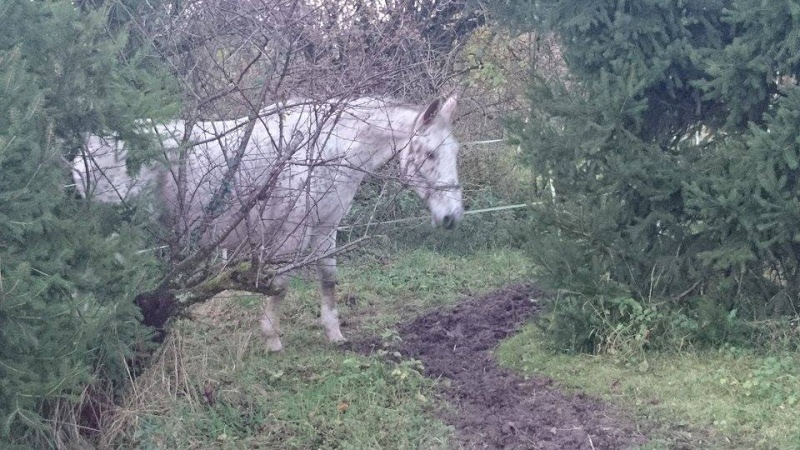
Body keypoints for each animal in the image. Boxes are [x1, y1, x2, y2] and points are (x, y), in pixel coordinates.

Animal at [75, 93, 466, 350]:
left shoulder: (326, 230)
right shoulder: (291, 234)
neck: (325, 150)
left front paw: (335, 335)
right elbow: (279, 285)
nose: (451, 217)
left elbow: (328, 281)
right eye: (430, 153)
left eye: (454, 151)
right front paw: (272, 339)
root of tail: (89, 146)